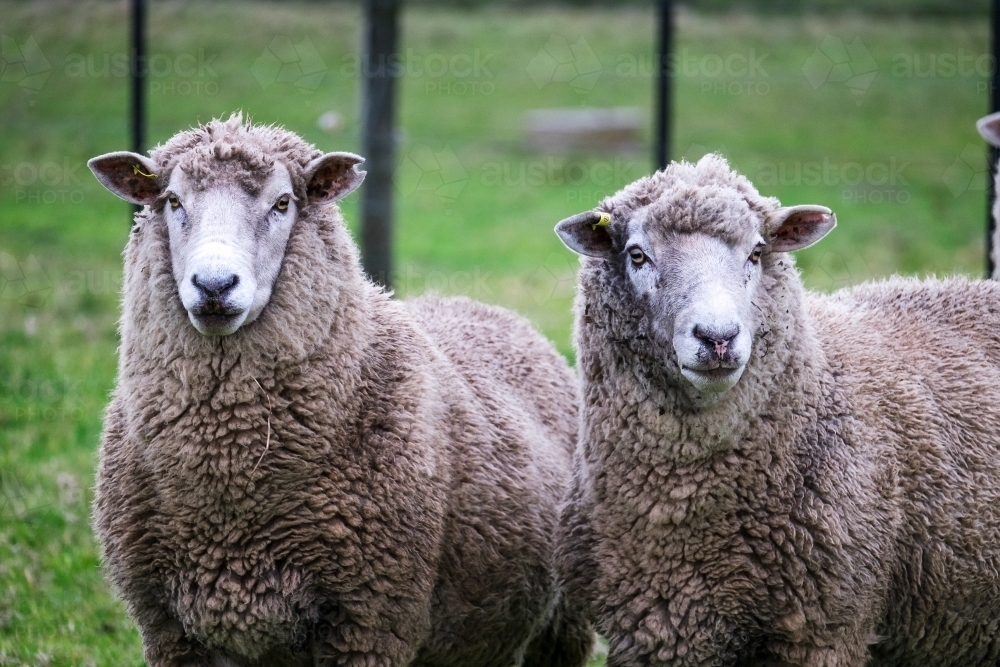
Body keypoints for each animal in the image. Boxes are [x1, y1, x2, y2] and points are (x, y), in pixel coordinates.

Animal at [88, 115, 592, 667]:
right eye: (173, 200)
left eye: (283, 203)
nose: (215, 286)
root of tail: (479, 307)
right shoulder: (169, 629)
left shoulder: (370, 620)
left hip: (557, 628)